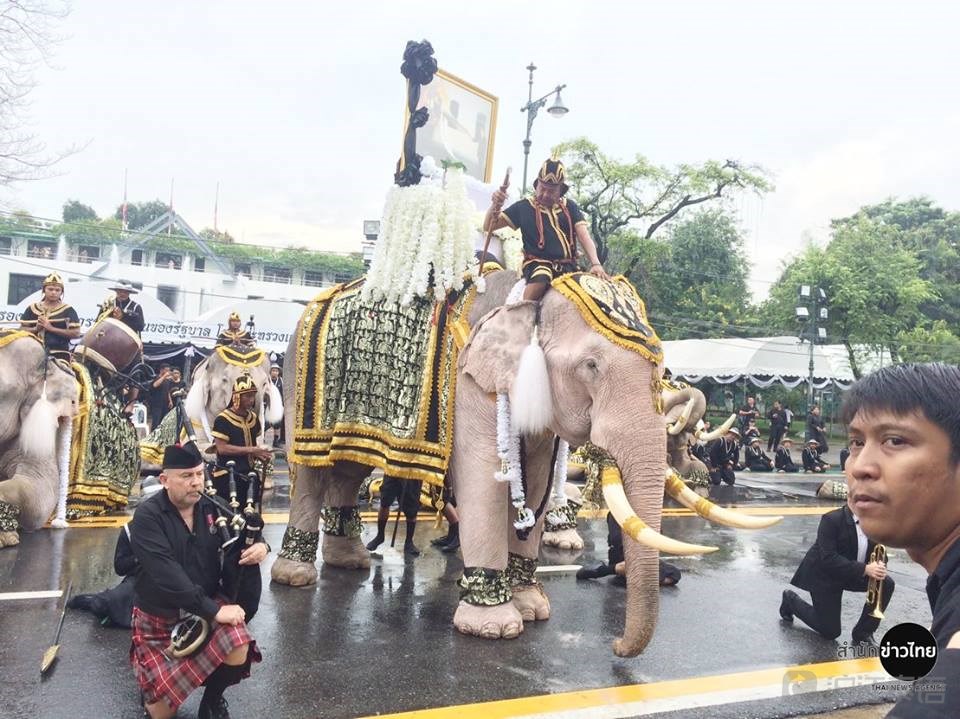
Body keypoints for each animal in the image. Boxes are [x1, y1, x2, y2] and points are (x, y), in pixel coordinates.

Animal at [272, 270, 780, 660]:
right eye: (591, 366)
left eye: (659, 367)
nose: (615, 649)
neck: (533, 299)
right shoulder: (470, 382)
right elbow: (482, 479)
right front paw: (494, 625)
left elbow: (535, 480)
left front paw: (532, 607)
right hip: (299, 379)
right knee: (314, 472)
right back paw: (295, 575)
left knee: (348, 468)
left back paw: (351, 562)